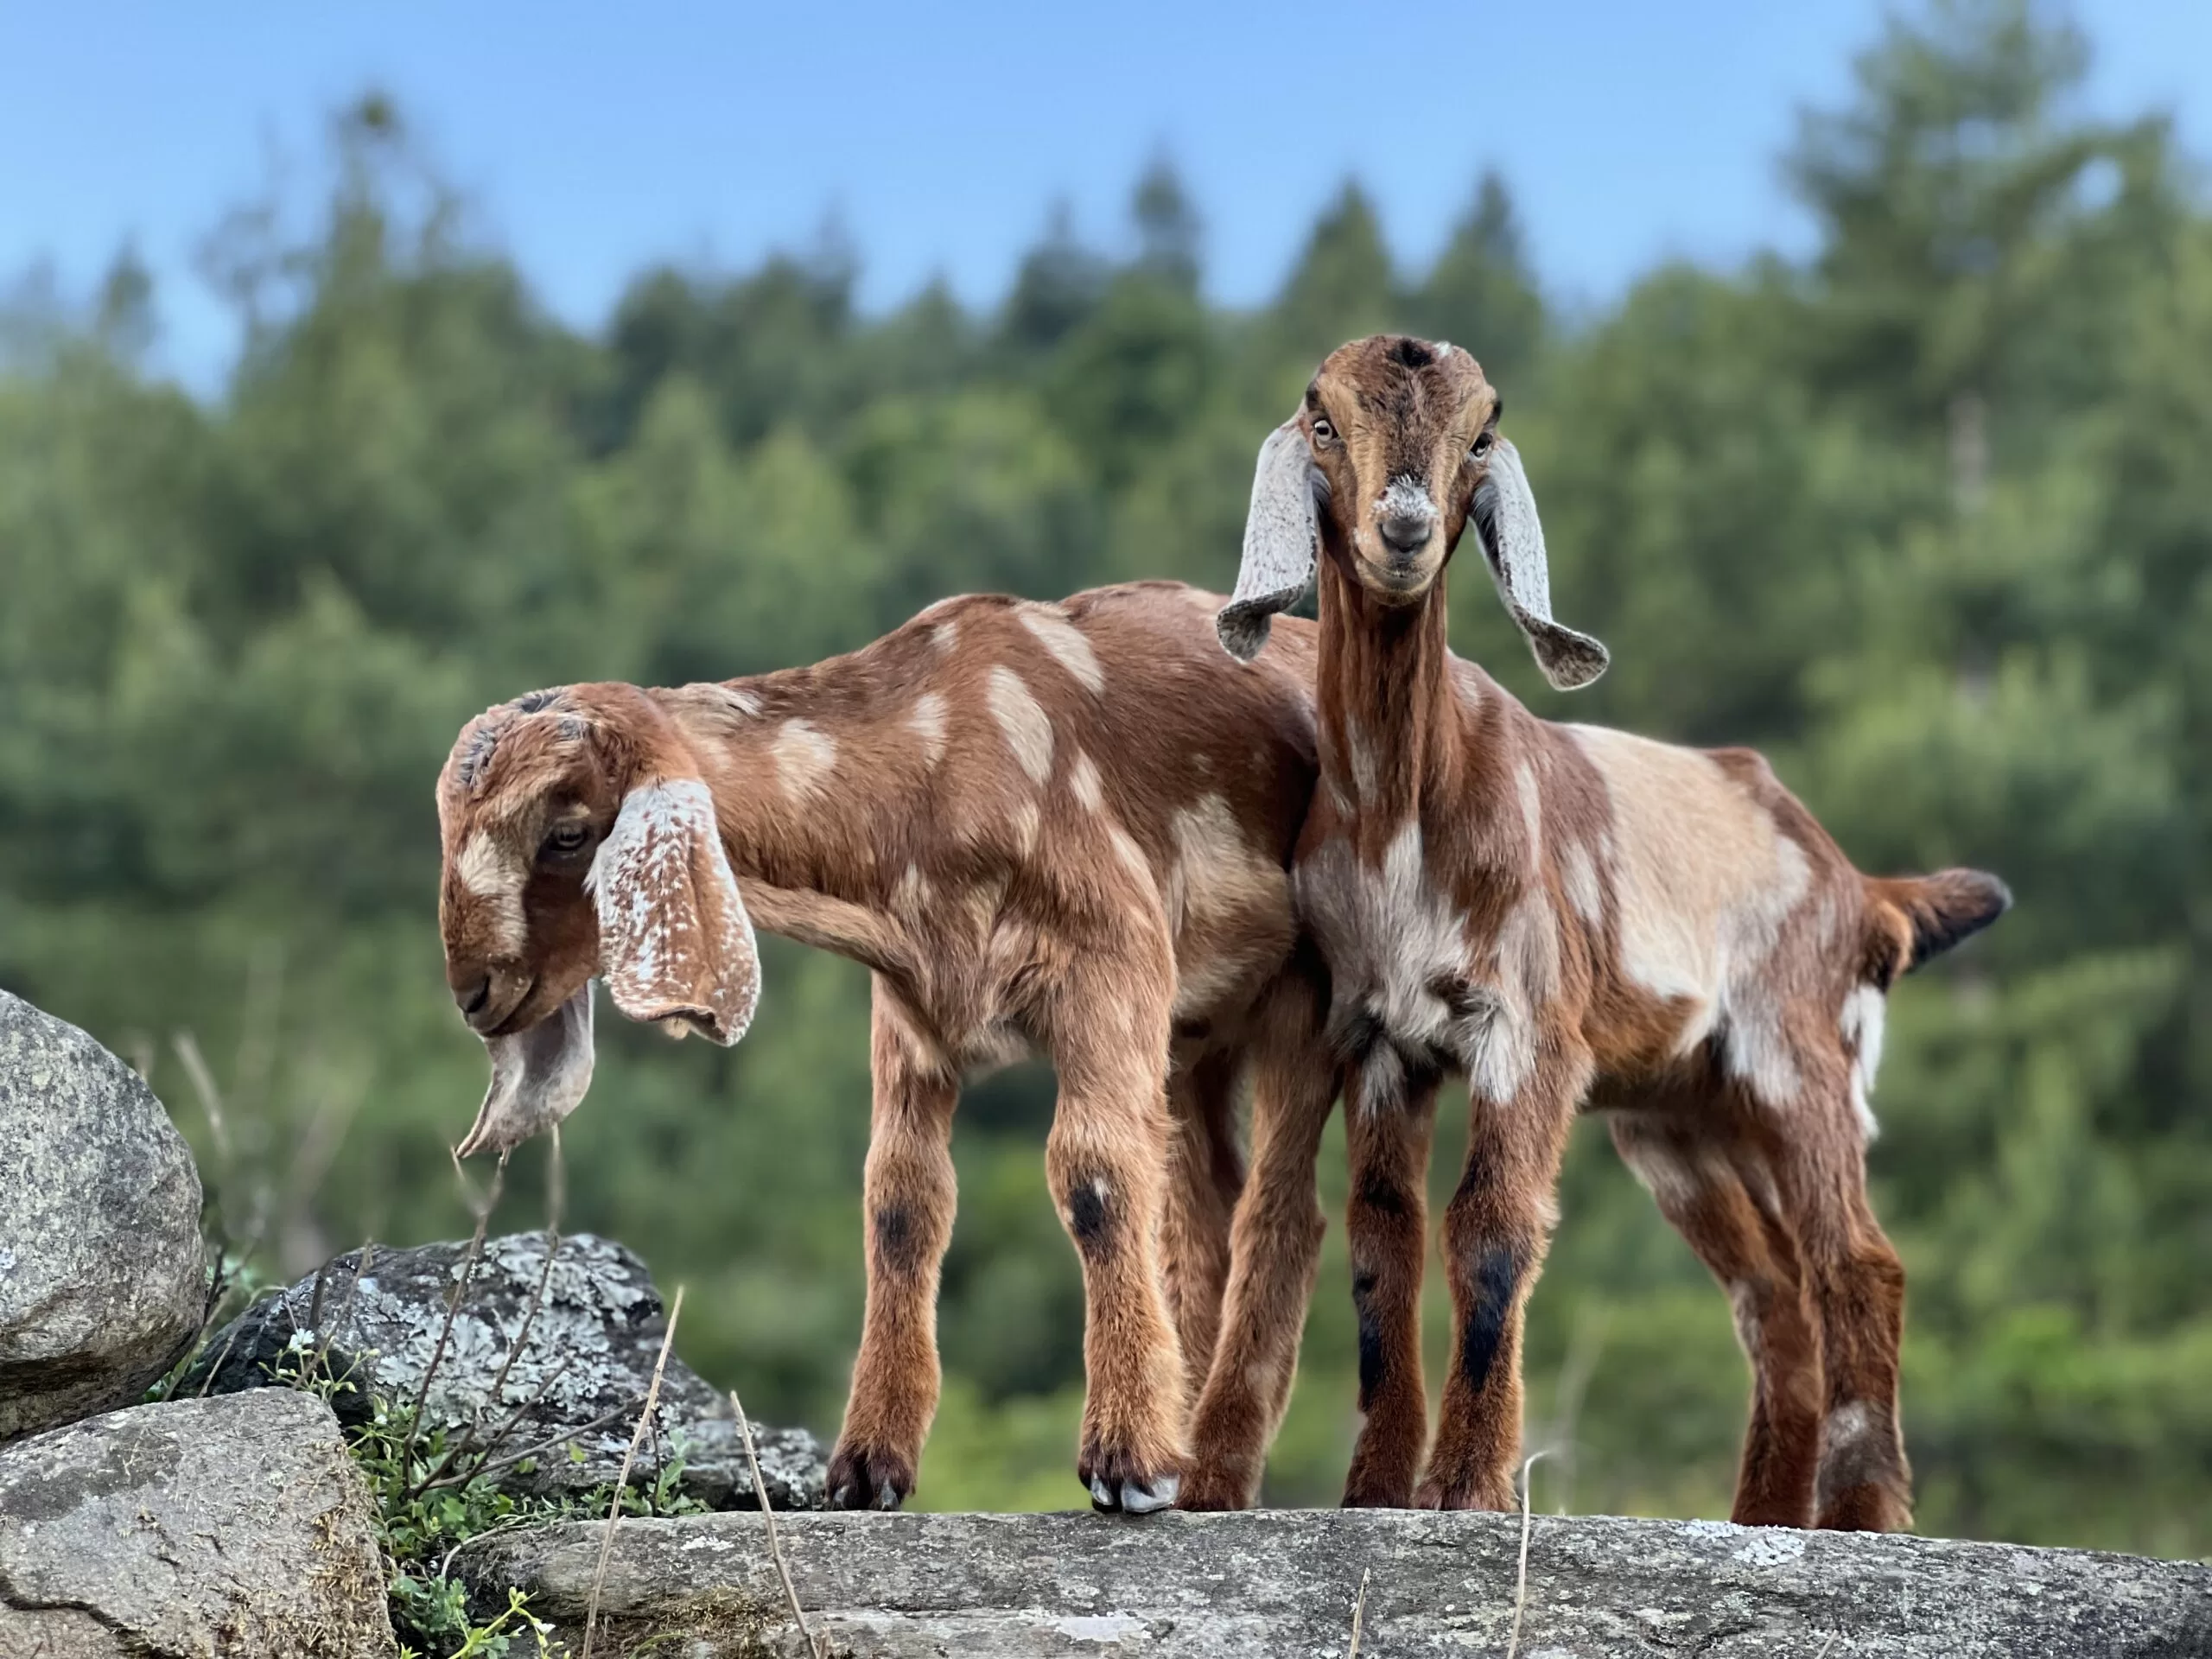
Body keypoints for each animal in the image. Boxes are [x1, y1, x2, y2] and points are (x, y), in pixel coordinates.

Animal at [432, 582, 1339, 1514]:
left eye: (567, 834)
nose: (475, 993)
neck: (935, 768)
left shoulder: (1111, 955)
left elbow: (1095, 1175)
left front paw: (1128, 1461)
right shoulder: (912, 1011)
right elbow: (902, 1200)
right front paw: (868, 1466)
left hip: (1305, 994)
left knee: (1284, 1209)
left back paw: (1214, 1469)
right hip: (1197, 1034)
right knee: (1206, 1207)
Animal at [1184, 334, 2009, 1528]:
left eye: (1482, 432)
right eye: (1323, 420)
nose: (1403, 529)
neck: (1407, 808)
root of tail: (1863, 887)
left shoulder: (1527, 1027)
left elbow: (1491, 1229)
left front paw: (1466, 1485)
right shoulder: (1383, 1038)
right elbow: (1385, 1240)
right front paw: (1376, 1490)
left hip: (1801, 1057)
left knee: (1856, 1260)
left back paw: (1860, 1518)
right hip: (1678, 1116)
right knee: (1770, 1292)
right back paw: (1761, 1518)